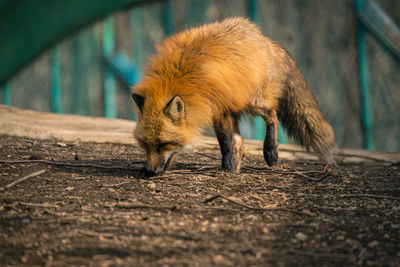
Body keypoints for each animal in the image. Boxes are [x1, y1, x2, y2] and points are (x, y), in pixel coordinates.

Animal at [131, 16, 334, 176]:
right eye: (144, 144)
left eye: (163, 143)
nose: (150, 172)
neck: (180, 78)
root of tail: (264, 38)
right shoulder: (215, 109)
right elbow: (229, 142)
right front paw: (230, 167)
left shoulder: (219, 107)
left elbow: (227, 142)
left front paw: (228, 170)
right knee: (241, 139)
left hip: (254, 102)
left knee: (272, 114)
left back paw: (270, 152)